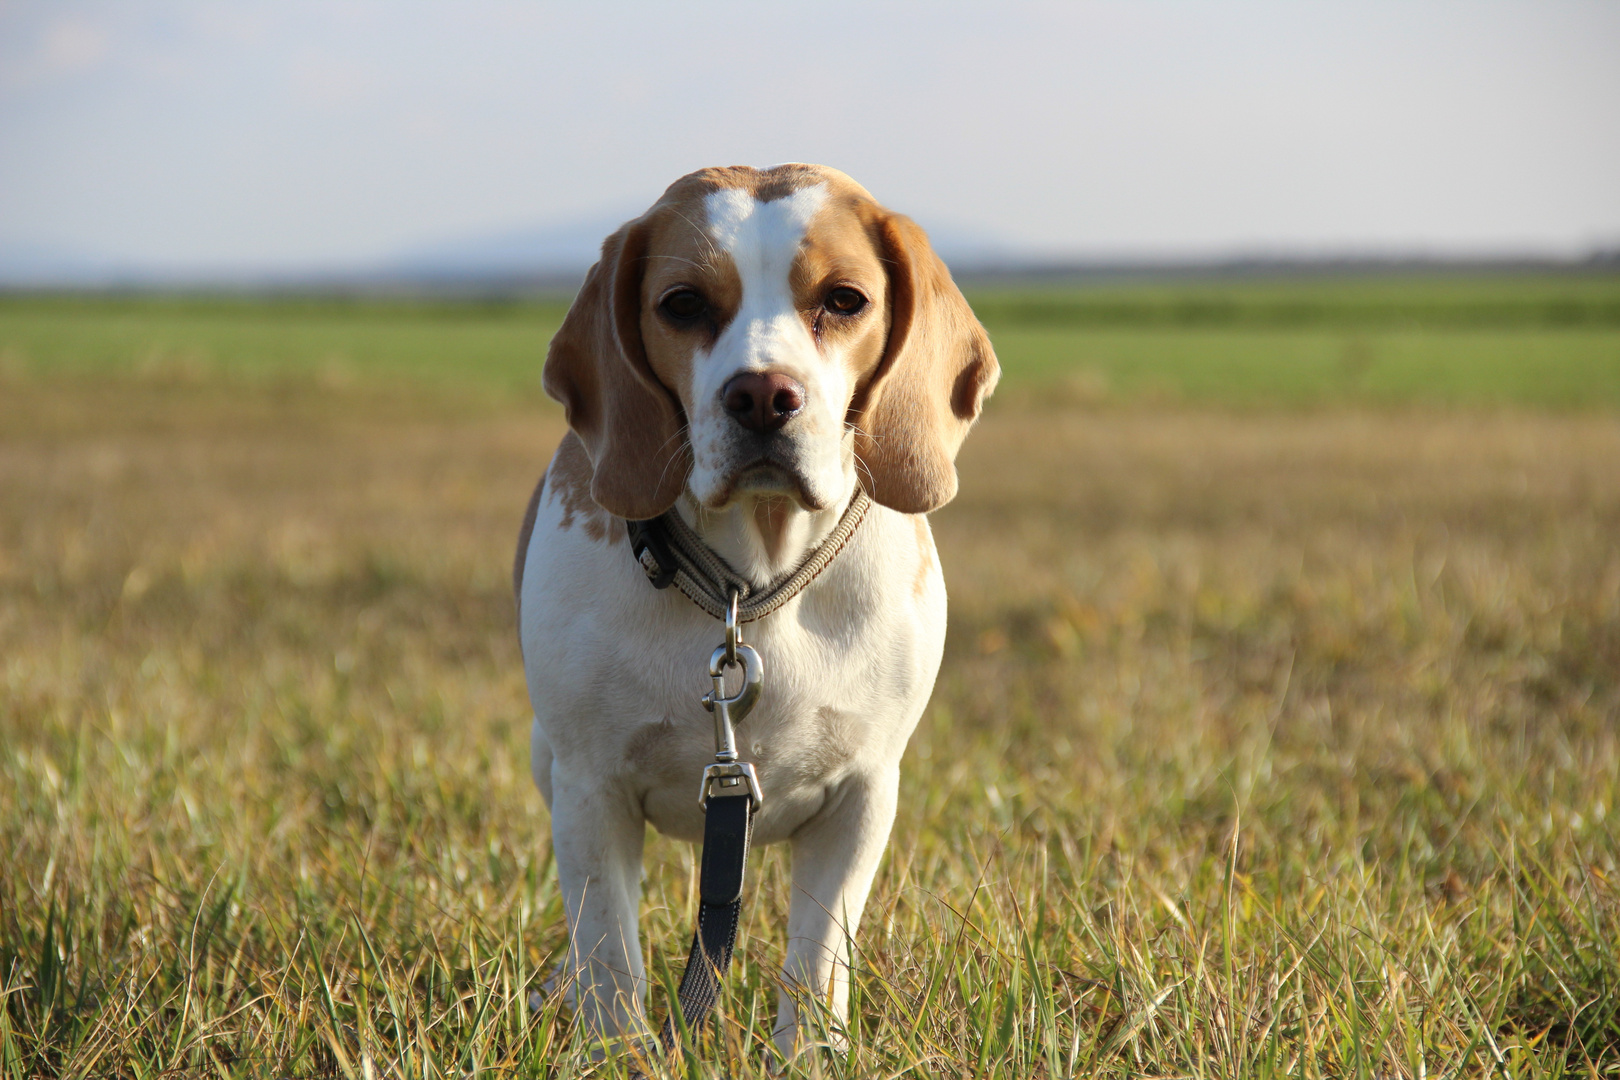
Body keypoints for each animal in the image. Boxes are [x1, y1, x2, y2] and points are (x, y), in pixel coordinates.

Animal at [518, 165, 997, 1062]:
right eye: (681, 304)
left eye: (845, 300)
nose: (764, 394)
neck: (753, 587)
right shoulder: (590, 789)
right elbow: (611, 962)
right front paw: (617, 1058)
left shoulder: (864, 794)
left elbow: (815, 961)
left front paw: (810, 1057)